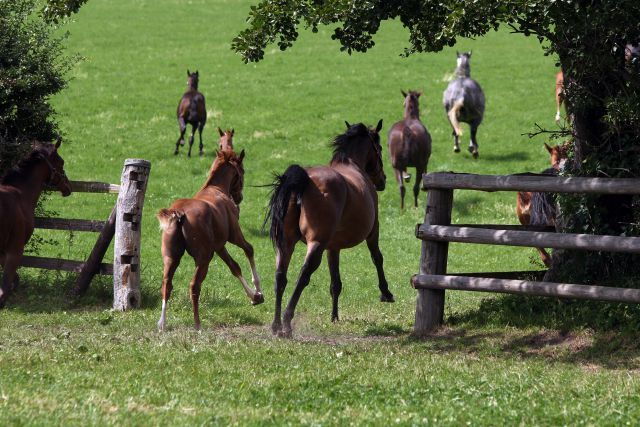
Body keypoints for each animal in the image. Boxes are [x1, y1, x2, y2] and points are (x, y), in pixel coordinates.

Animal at [156, 149, 264, 332]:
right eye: (242, 171)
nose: (239, 198)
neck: (215, 189)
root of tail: (179, 213)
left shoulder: (219, 246)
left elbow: (234, 267)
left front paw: (254, 296)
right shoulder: (234, 236)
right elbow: (249, 249)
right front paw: (257, 291)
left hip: (171, 258)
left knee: (166, 285)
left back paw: (162, 323)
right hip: (204, 258)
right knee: (194, 286)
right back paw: (197, 324)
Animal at [264, 119, 396, 338]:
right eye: (379, 148)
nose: (383, 180)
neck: (351, 164)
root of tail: (305, 180)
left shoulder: (332, 247)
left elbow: (336, 283)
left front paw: (334, 316)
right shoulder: (373, 231)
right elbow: (377, 257)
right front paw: (385, 292)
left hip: (286, 243)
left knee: (280, 276)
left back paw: (276, 325)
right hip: (316, 243)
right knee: (303, 275)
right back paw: (287, 321)